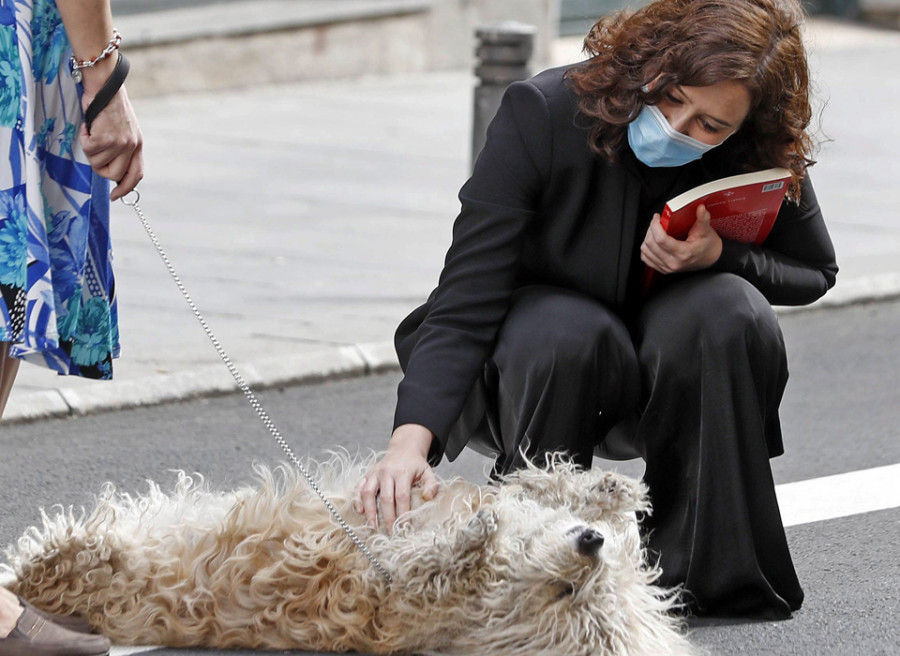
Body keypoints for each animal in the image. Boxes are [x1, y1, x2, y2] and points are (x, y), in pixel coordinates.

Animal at [0, 456, 696, 656]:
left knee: (55, 562)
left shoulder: (394, 594)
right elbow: (530, 489)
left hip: (111, 578)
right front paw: (611, 491)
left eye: (569, 594)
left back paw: (60, 548)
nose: (590, 546)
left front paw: (475, 538)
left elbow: (431, 566)